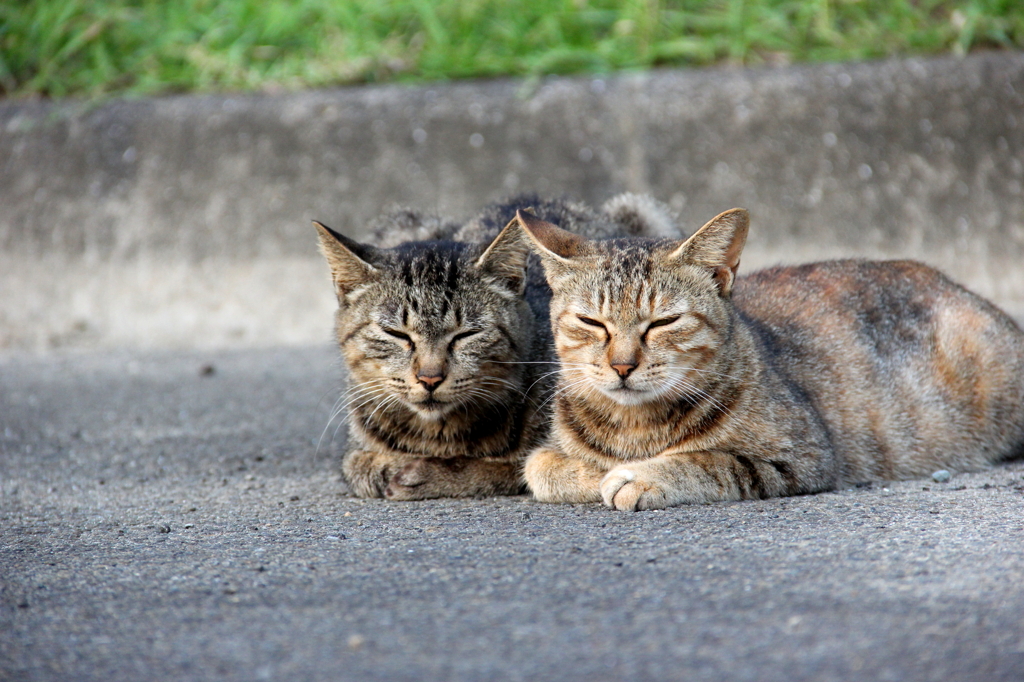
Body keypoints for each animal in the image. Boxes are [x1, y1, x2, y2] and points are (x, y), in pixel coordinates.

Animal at [315, 193, 675, 497]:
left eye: (466, 334)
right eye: (397, 334)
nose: (430, 378)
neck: (437, 433)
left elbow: (499, 467)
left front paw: (422, 474)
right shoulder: (356, 446)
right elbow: (357, 463)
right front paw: (387, 467)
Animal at [516, 206, 1024, 509]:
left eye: (663, 322)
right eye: (592, 322)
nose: (622, 366)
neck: (634, 428)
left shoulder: (803, 457)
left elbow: (708, 460)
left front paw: (638, 477)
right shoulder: (547, 452)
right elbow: (539, 466)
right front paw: (594, 473)